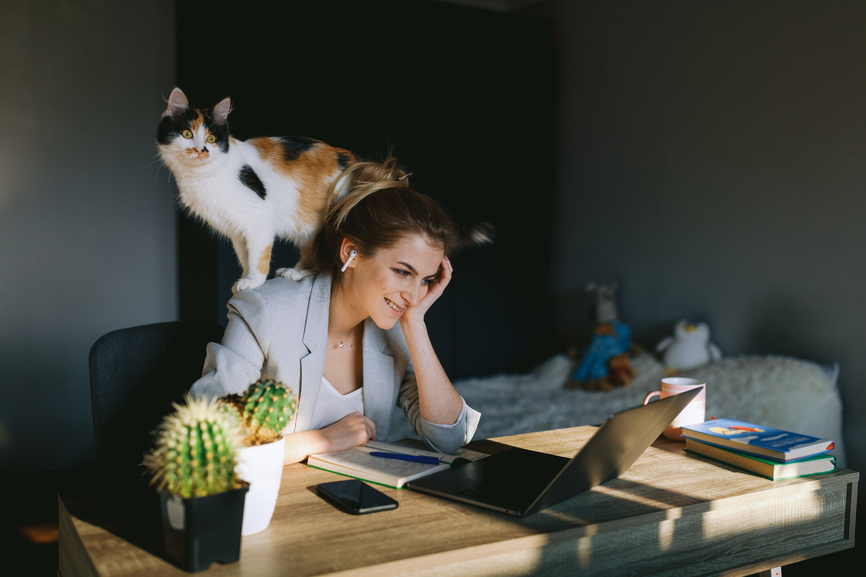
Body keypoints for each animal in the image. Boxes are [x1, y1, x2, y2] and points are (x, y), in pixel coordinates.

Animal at [158, 87, 354, 290]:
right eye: (187, 134)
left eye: (211, 138)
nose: (199, 150)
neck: (200, 176)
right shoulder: (236, 230)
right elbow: (245, 257)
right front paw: (243, 280)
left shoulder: (259, 220)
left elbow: (257, 256)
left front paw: (253, 282)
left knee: (326, 264)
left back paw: (295, 273)